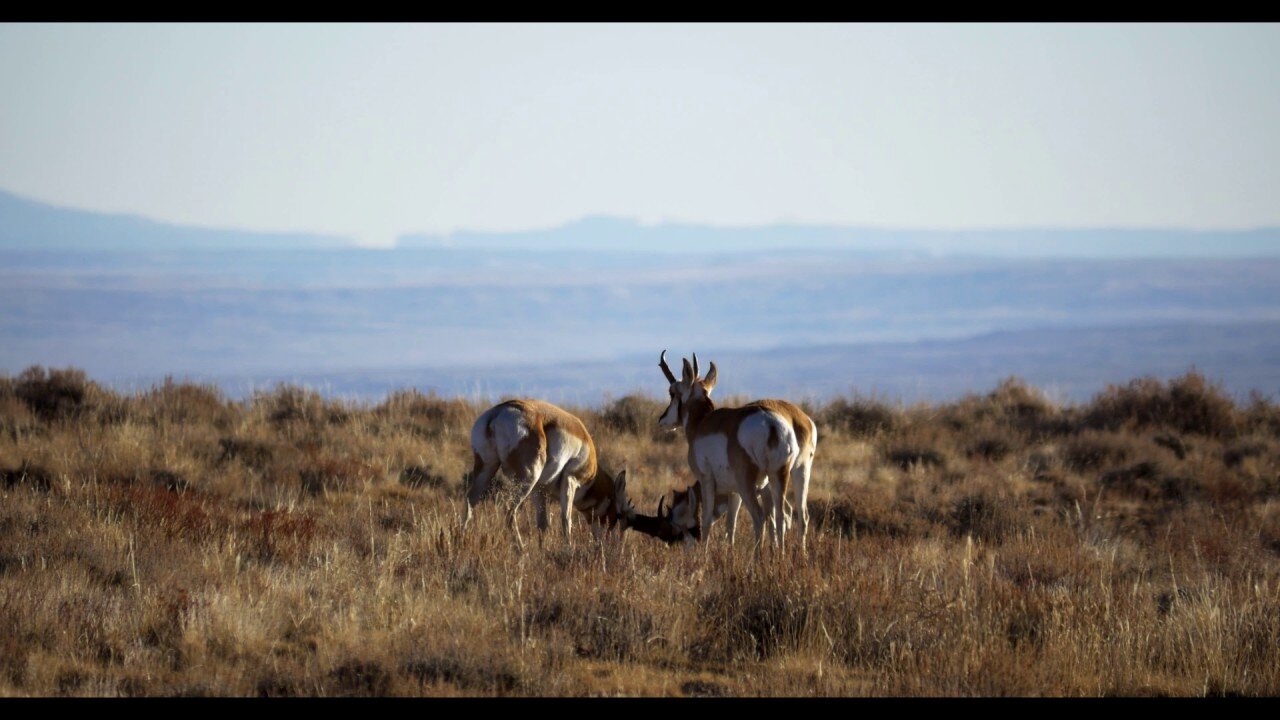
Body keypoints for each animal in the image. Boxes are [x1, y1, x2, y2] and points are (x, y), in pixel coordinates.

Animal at [460, 397, 660, 543]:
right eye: (619, 514)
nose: (615, 545)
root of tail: (498, 412)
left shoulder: (540, 491)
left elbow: (543, 525)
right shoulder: (570, 481)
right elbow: (566, 520)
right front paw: (568, 549)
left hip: (487, 470)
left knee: (469, 503)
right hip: (526, 480)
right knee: (509, 510)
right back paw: (521, 549)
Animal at [660, 351, 819, 548]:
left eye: (672, 392)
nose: (662, 420)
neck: (702, 424)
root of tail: (772, 424)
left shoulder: (707, 481)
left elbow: (706, 521)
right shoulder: (733, 491)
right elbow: (731, 526)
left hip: (749, 484)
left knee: (760, 517)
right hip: (790, 473)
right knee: (790, 516)